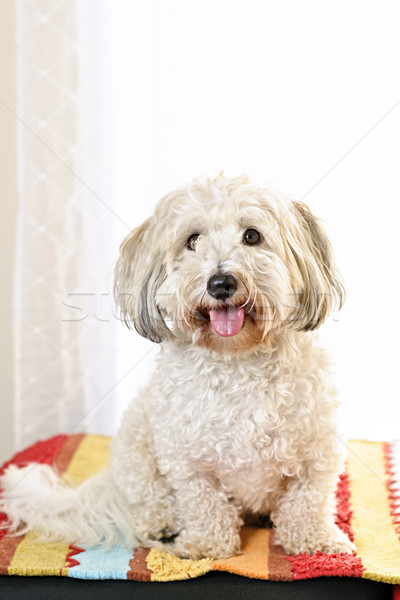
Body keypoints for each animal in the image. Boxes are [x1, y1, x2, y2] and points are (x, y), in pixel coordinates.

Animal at [1, 173, 354, 556]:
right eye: (193, 240)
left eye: (252, 236)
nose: (221, 283)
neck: (238, 361)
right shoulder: (187, 460)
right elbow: (204, 503)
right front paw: (207, 545)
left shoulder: (317, 453)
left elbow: (308, 500)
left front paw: (315, 539)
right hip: (136, 447)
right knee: (149, 497)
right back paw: (163, 524)